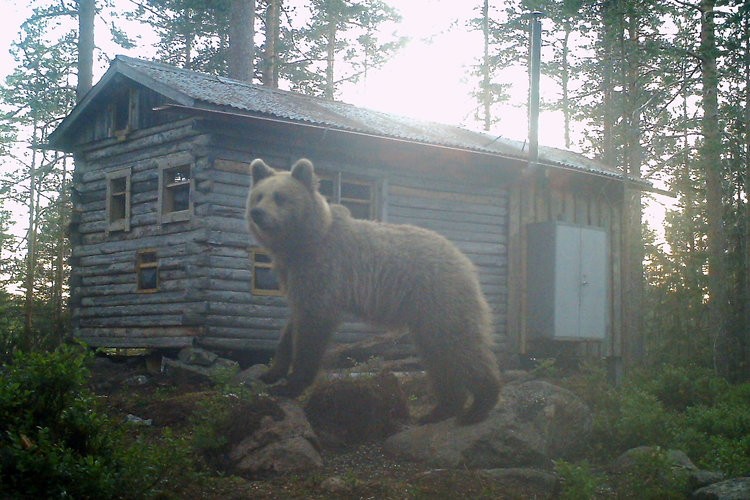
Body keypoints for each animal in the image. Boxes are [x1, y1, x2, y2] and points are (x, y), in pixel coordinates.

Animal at [247, 158, 502, 424]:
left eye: (280, 197)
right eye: (258, 196)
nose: (258, 213)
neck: (301, 243)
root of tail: (464, 259)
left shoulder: (324, 271)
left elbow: (312, 328)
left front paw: (289, 385)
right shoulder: (295, 275)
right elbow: (292, 324)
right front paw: (270, 373)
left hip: (439, 295)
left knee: (459, 344)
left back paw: (479, 405)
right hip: (425, 314)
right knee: (437, 354)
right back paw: (440, 409)